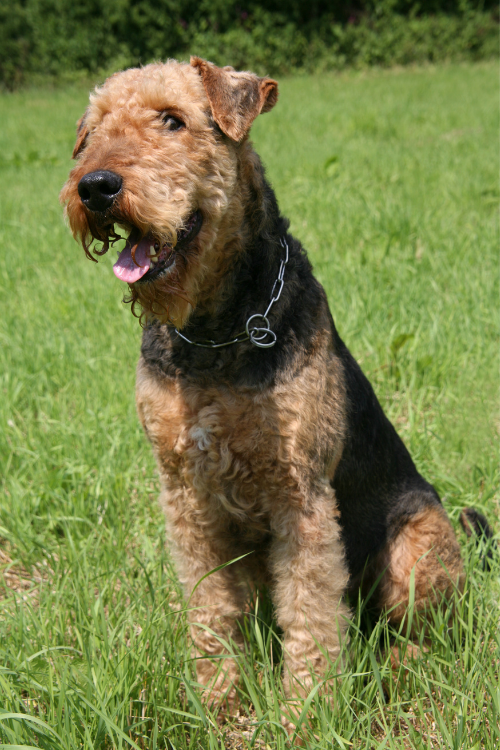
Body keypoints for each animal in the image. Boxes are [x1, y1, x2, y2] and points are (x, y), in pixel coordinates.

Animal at [60, 57, 486, 728]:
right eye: (94, 128)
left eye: (172, 120)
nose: (95, 187)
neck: (214, 334)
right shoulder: (186, 496)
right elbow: (210, 609)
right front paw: (216, 700)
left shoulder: (300, 495)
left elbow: (310, 615)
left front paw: (304, 713)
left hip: (418, 546)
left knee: (420, 633)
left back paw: (397, 667)